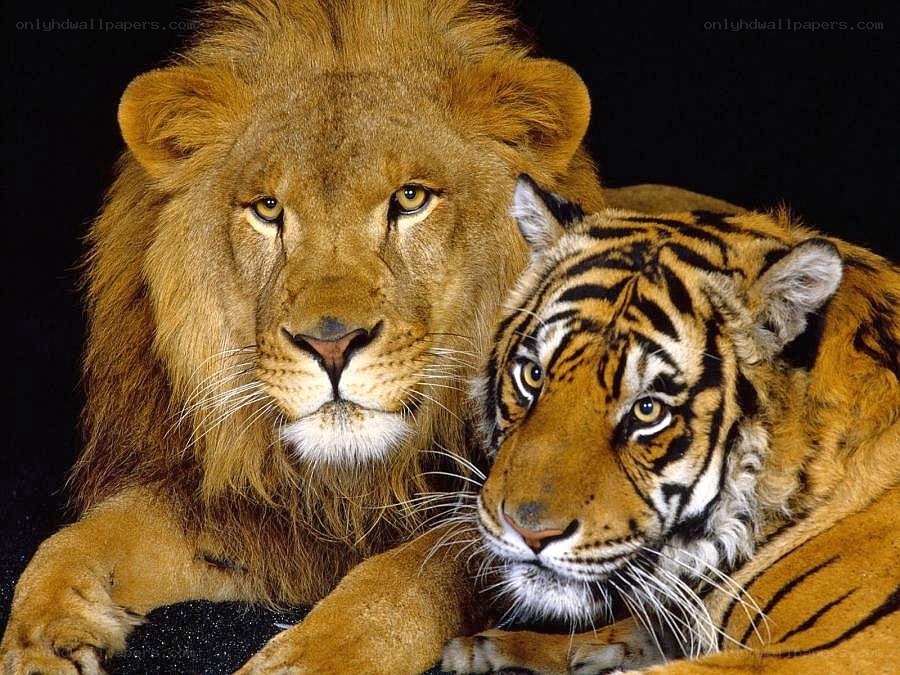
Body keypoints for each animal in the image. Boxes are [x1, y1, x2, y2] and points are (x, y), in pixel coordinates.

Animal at [1, 1, 740, 673]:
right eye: (268, 208)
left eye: (411, 199)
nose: (331, 344)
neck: (352, 481)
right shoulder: (249, 513)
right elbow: (79, 540)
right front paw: (42, 639)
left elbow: (409, 575)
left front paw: (311, 656)